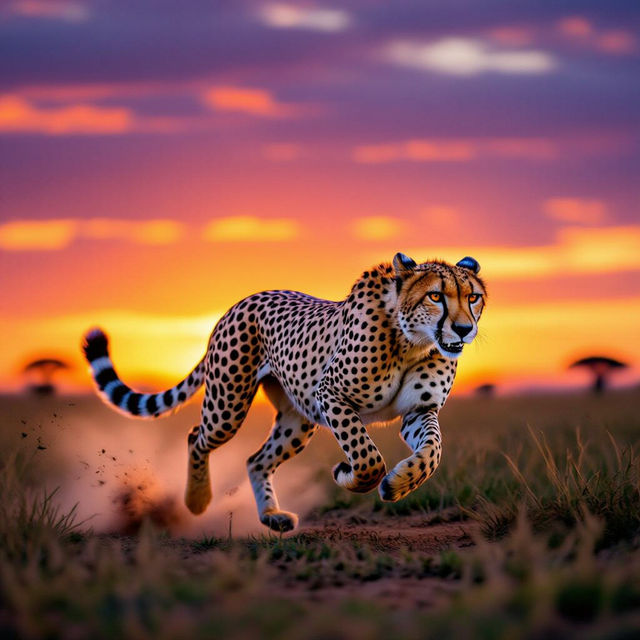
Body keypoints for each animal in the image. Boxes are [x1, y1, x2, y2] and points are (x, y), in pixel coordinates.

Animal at [82, 253, 486, 532]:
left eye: (474, 298)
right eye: (436, 296)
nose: (464, 329)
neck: (412, 341)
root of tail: (242, 301)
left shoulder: (419, 411)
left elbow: (432, 453)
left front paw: (400, 484)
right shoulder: (331, 394)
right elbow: (367, 458)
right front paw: (349, 474)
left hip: (297, 420)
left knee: (256, 460)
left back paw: (271, 516)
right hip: (228, 405)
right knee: (196, 436)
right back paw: (197, 500)